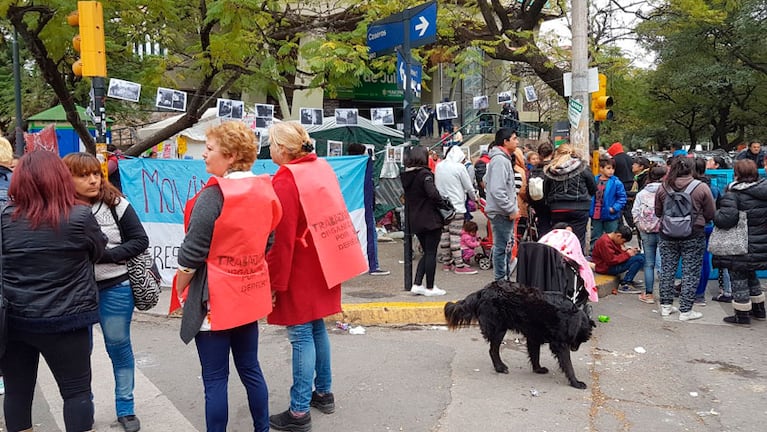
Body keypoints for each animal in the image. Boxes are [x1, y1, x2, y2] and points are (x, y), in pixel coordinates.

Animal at [444, 280, 600, 388]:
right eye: (580, 339)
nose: (575, 349)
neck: (573, 317)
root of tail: (484, 291)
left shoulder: (533, 337)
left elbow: (535, 355)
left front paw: (538, 369)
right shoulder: (560, 345)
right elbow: (568, 365)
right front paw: (575, 382)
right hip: (499, 329)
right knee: (493, 350)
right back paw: (500, 368)